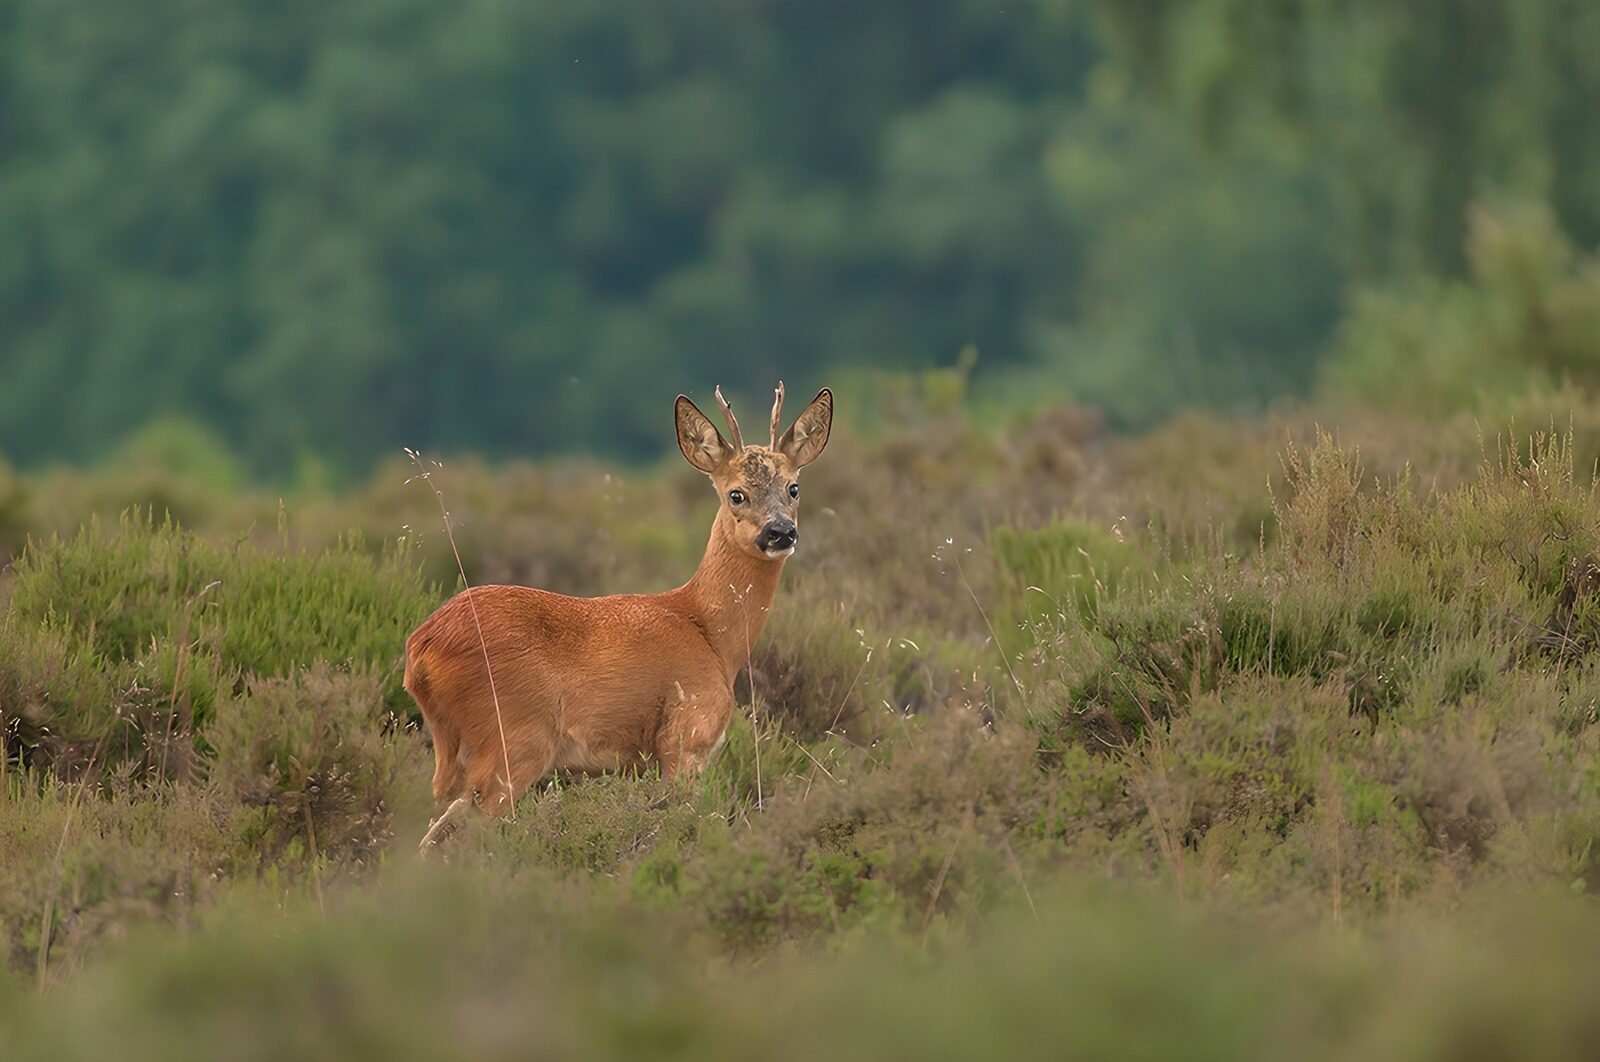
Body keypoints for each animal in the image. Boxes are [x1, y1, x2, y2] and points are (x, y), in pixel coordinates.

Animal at [405, 382, 833, 850]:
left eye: (793, 487)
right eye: (736, 493)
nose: (780, 532)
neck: (710, 632)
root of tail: (421, 649)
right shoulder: (687, 738)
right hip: (514, 739)